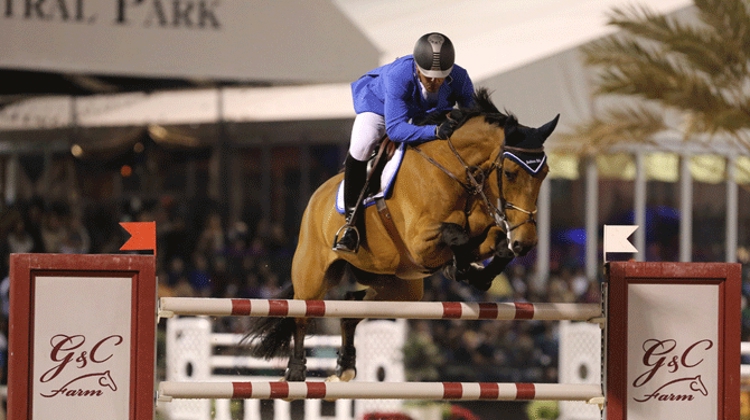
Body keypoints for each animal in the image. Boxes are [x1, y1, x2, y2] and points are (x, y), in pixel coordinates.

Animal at [247, 88, 560, 384]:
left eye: (545, 172)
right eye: (509, 173)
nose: (526, 241)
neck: (456, 170)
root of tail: (316, 196)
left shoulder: (479, 234)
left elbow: (495, 243)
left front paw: (476, 272)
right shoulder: (419, 242)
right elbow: (456, 234)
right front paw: (462, 269)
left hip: (399, 286)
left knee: (351, 305)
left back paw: (345, 367)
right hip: (313, 273)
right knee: (301, 314)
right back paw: (296, 372)